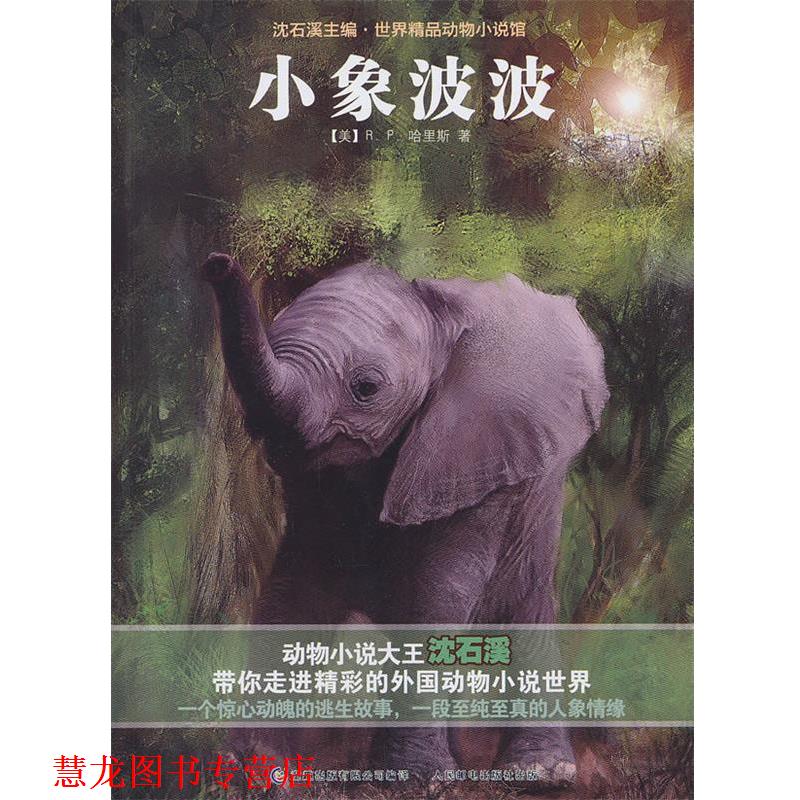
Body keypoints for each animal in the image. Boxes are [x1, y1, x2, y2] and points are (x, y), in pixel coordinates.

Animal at [200, 252, 608, 789]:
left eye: (367, 388)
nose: (217, 263)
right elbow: (295, 588)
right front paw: (257, 772)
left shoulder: (478, 455)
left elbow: (436, 592)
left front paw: (419, 780)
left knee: (523, 610)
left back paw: (539, 775)